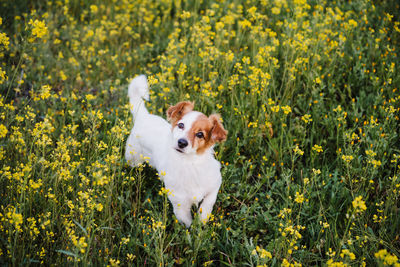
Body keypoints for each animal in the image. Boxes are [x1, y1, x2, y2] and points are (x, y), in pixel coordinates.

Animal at [125, 75, 227, 228]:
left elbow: (208, 204)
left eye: (200, 134)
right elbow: (188, 224)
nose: (182, 142)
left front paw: (202, 220)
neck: (190, 164)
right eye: (181, 125)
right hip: (134, 160)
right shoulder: (180, 204)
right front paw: (195, 230)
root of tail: (143, 117)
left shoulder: (215, 184)